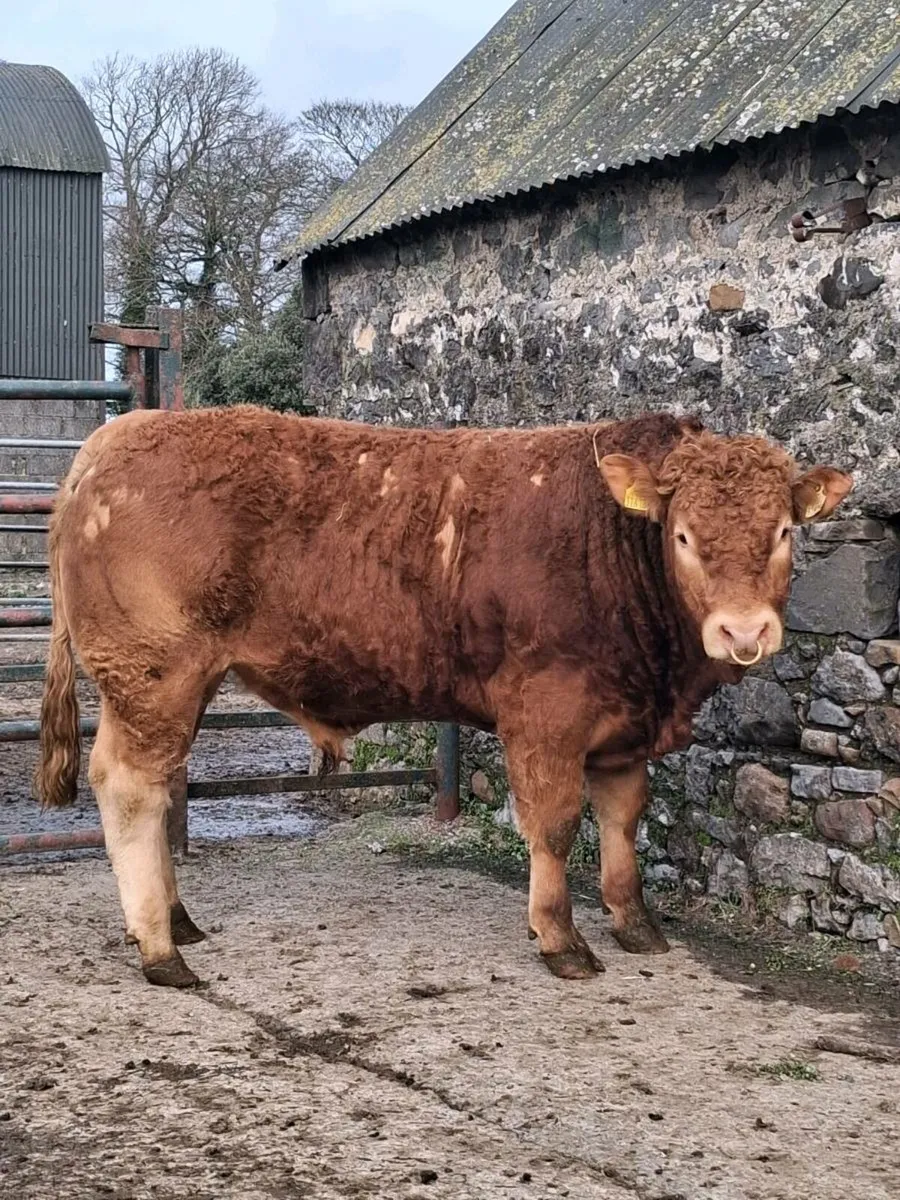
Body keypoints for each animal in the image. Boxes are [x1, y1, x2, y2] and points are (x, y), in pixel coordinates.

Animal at [34, 407, 851, 987]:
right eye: (682, 536)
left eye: (784, 530)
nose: (744, 630)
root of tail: (108, 441)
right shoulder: (546, 713)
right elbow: (555, 825)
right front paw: (560, 937)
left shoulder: (625, 724)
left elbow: (623, 822)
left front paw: (635, 924)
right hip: (151, 674)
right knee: (130, 787)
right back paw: (159, 949)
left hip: (177, 684)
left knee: (160, 783)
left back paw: (176, 920)